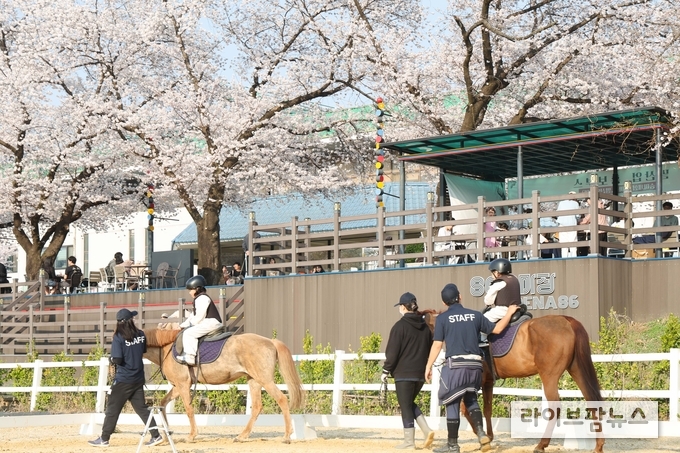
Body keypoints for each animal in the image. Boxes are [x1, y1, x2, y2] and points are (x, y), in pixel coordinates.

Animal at [143, 328, 305, 443]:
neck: (166, 349)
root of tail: (270, 341)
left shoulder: (183, 385)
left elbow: (189, 410)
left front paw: (191, 436)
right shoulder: (178, 386)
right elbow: (162, 403)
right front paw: (167, 434)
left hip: (265, 380)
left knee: (282, 399)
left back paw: (286, 436)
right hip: (254, 380)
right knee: (257, 407)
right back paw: (242, 436)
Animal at [424, 311, 604, 453]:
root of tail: (566, 320)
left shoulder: (473, 384)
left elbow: (465, 409)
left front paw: (483, 438)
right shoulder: (488, 383)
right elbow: (487, 409)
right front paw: (488, 436)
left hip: (549, 375)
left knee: (555, 407)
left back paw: (541, 444)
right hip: (576, 369)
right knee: (592, 400)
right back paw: (598, 446)